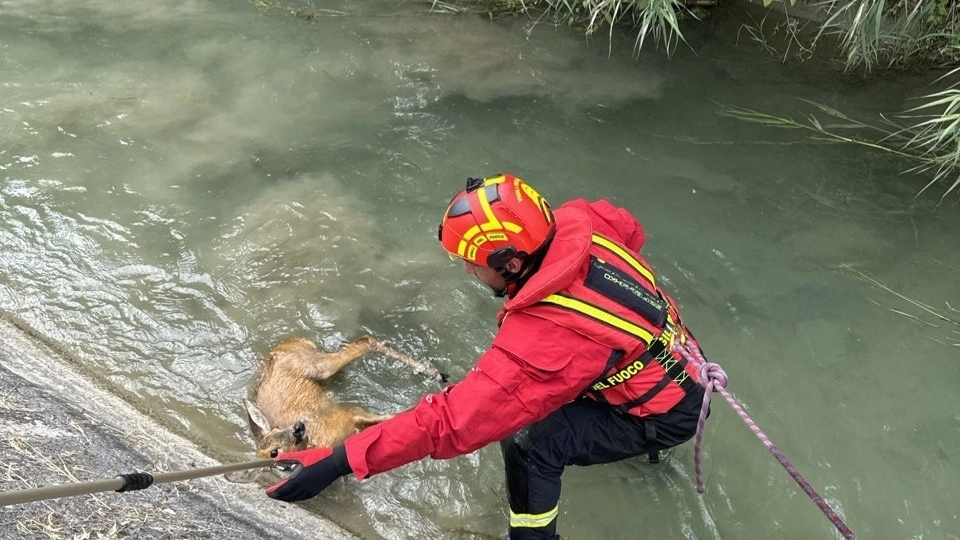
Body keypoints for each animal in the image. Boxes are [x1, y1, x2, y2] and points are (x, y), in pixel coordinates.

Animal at [246, 336, 444, 458]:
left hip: (318, 366)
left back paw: (433, 373)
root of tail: (288, 342)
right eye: (274, 453)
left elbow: (389, 416)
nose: (298, 428)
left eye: (277, 430)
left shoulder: (348, 414)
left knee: (365, 341)